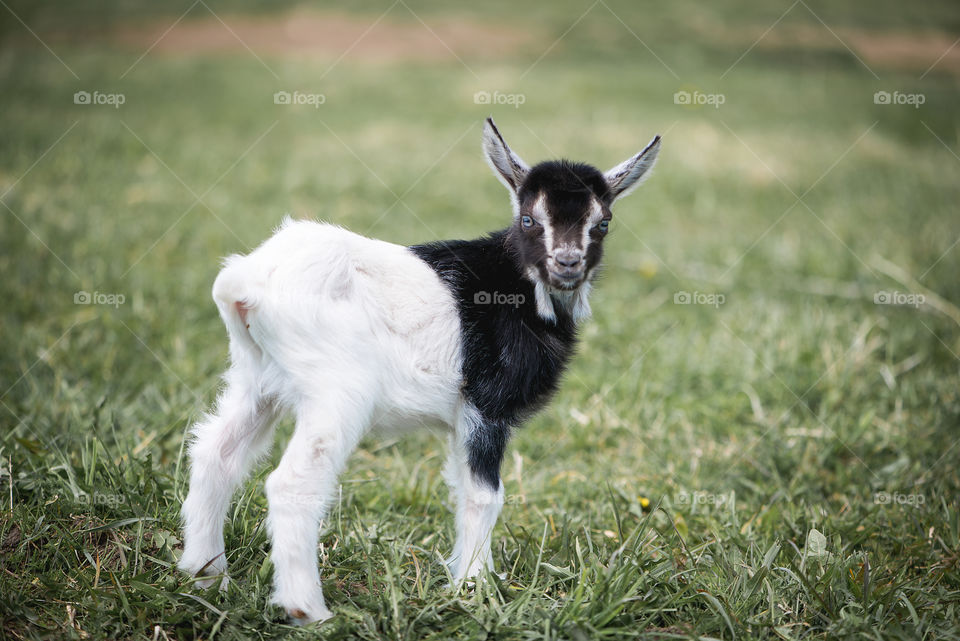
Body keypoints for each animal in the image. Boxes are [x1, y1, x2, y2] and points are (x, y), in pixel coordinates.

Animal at [179, 118, 661, 624]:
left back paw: (206, 578)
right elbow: (484, 494)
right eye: (529, 219)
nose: (567, 263)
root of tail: (245, 281)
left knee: (215, 455)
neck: (519, 286)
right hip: (337, 391)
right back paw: (309, 610)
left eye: (602, 222)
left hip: (257, 380)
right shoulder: (484, 407)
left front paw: (465, 580)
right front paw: (476, 589)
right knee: (292, 482)